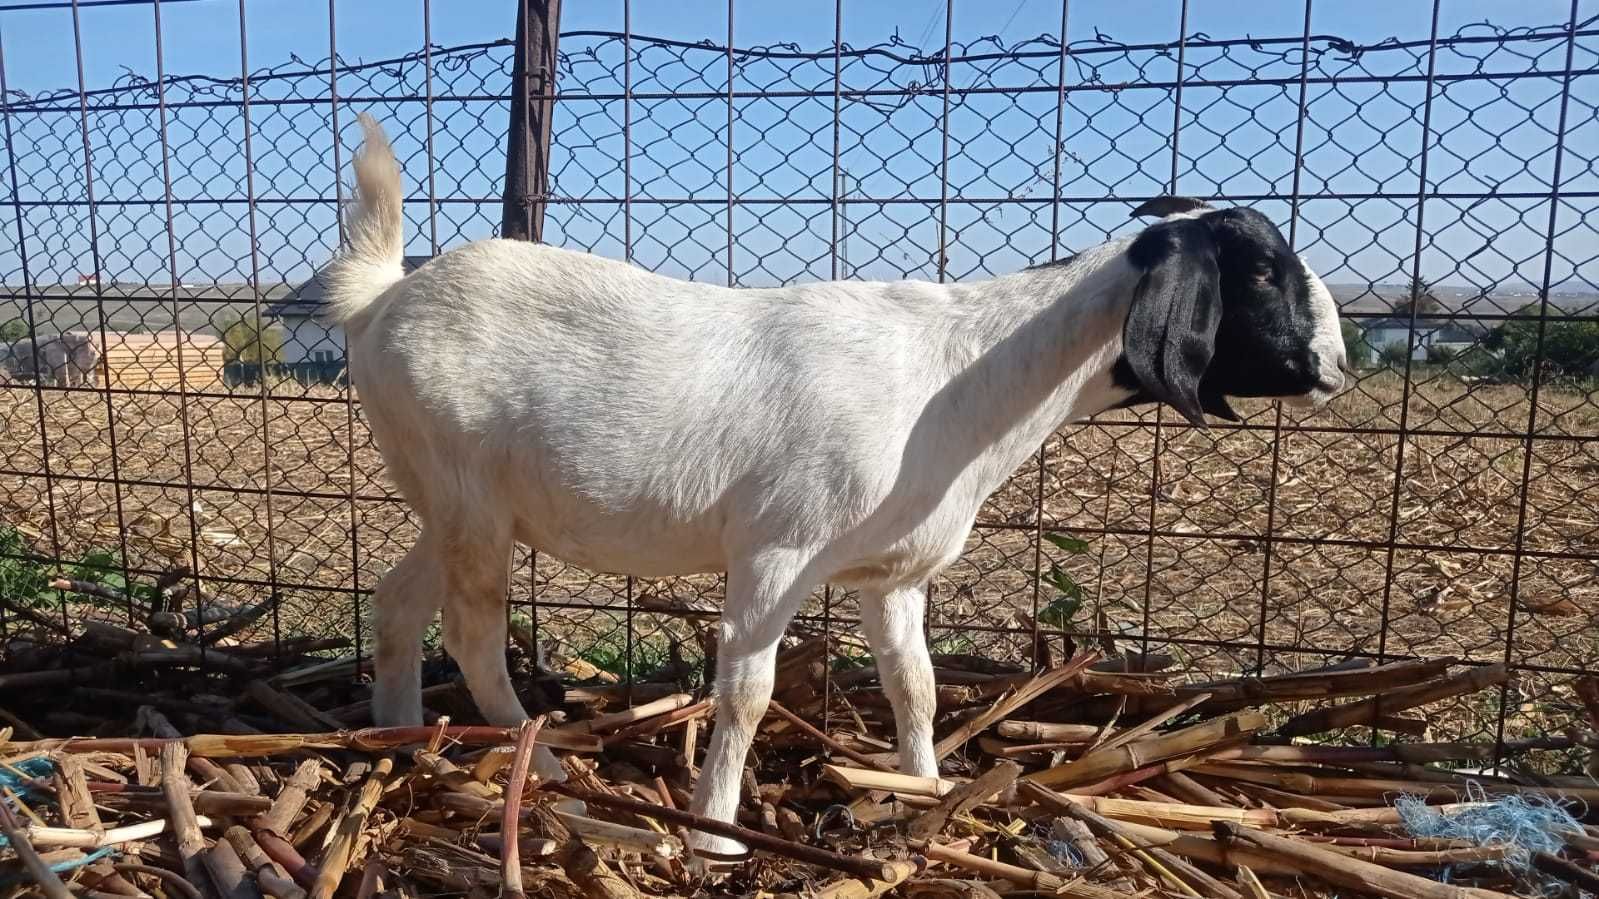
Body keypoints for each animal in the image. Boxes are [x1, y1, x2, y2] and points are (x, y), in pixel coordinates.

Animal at [327, 115, 1349, 851]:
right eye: (1263, 270)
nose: (1335, 366)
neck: (960, 373)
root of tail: (381, 299)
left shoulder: (892, 572)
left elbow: (916, 683)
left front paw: (925, 784)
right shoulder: (777, 547)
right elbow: (745, 690)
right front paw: (717, 835)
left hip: (449, 497)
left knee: (397, 599)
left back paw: (396, 735)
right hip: (468, 491)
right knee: (470, 627)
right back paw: (529, 762)